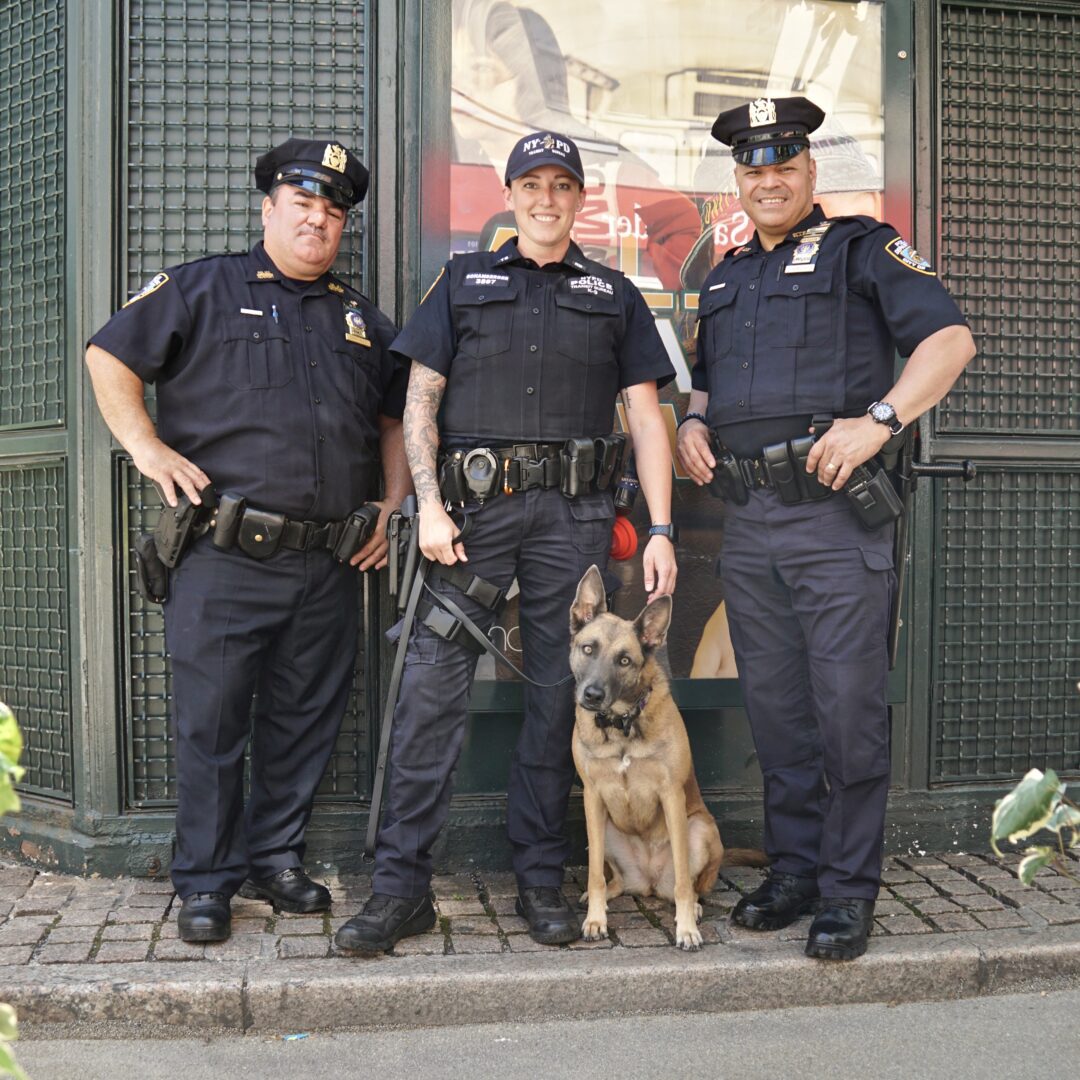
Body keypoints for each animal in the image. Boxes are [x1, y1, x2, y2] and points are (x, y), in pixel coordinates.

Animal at [570, 565, 764, 946]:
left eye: (624, 660)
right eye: (588, 649)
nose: (592, 695)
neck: (622, 724)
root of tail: (647, 883)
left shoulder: (672, 795)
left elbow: (684, 884)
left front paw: (686, 928)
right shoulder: (592, 798)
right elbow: (595, 874)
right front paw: (596, 919)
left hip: (700, 828)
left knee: (689, 884)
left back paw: (695, 908)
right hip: (605, 829)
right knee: (614, 879)